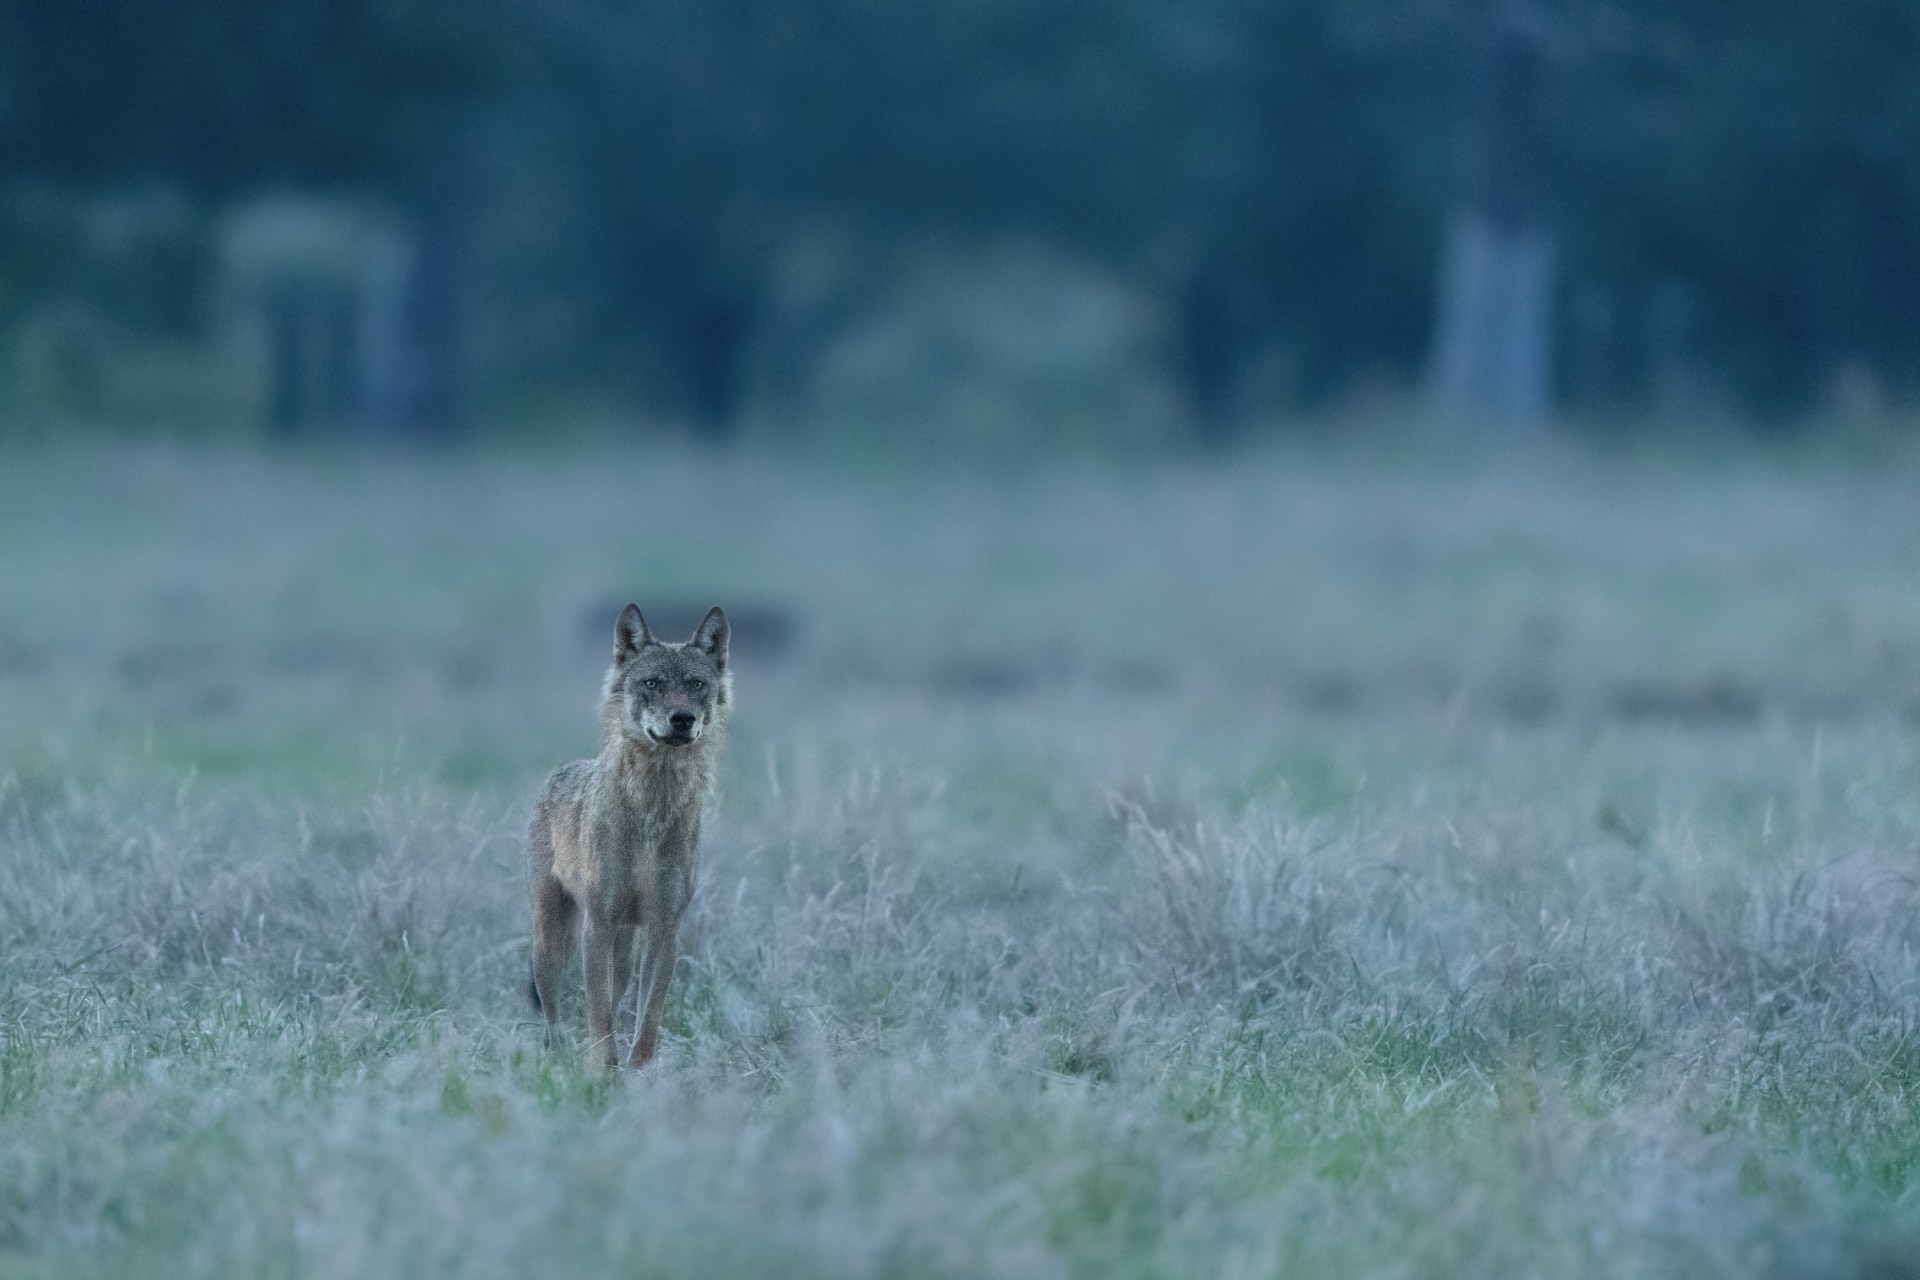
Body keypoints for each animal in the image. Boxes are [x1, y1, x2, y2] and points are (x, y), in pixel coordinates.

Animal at [526, 603, 730, 1068]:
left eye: (696, 685)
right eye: (652, 683)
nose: (682, 719)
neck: (653, 810)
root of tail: (559, 771)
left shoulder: (665, 928)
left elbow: (646, 1019)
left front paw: (639, 1073)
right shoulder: (597, 924)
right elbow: (598, 1015)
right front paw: (604, 1071)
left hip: (625, 944)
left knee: (617, 997)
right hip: (550, 938)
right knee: (553, 1014)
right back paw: (557, 1055)